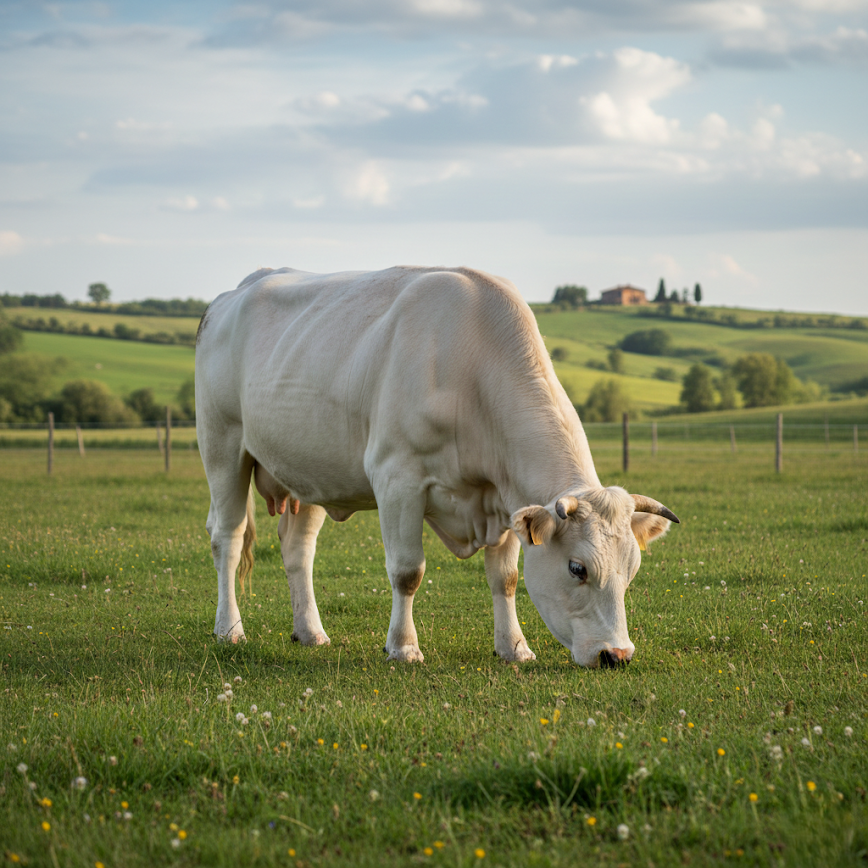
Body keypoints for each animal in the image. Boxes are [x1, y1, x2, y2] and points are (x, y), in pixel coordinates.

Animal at [195, 265, 679, 668]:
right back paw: (229, 629)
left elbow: (505, 578)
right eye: (578, 568)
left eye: (632, 569)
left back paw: (310, 631)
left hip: (310, 470)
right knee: (228, 537)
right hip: (222, 447)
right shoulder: (397, 480)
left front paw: (514, 648)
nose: (617, 655)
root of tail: (234, 292)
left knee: (298, 550)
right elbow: (408, 571)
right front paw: (403, 647)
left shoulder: (503, 498)